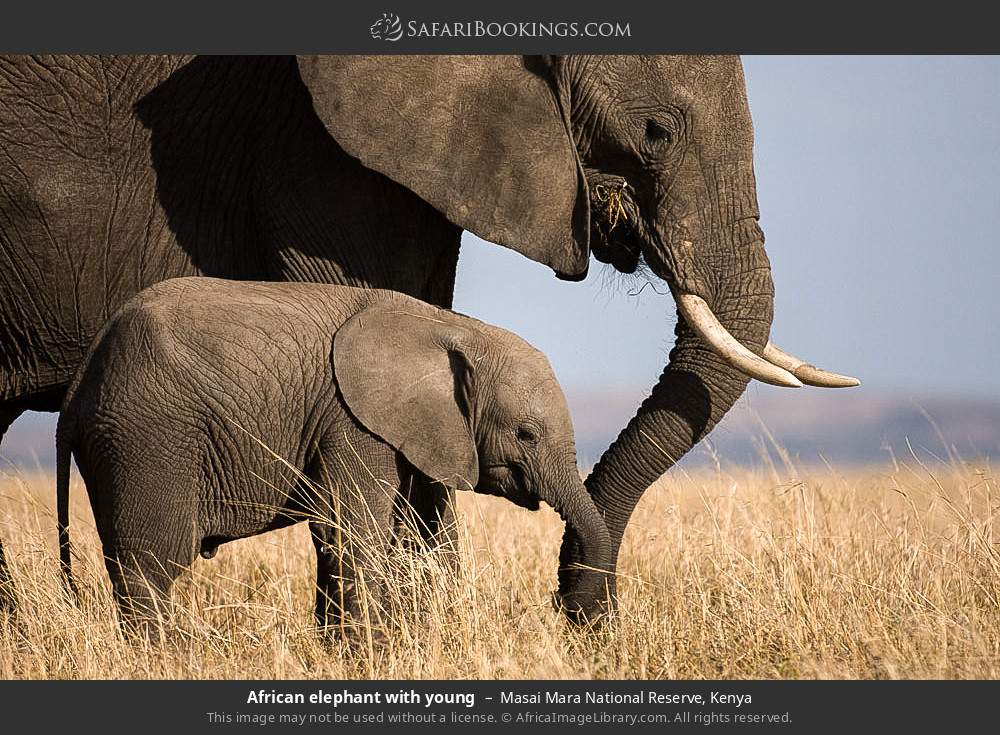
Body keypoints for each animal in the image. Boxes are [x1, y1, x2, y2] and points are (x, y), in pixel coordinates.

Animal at [55, 277, 612, 632]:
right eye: (526, 434)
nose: (565, 606)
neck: (449, 326)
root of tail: (76, 390)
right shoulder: (353, 422)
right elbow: (350, 531)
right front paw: (367, 650)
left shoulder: (411, 431)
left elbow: (414, 535)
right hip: (146, 437)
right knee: (150, 568)